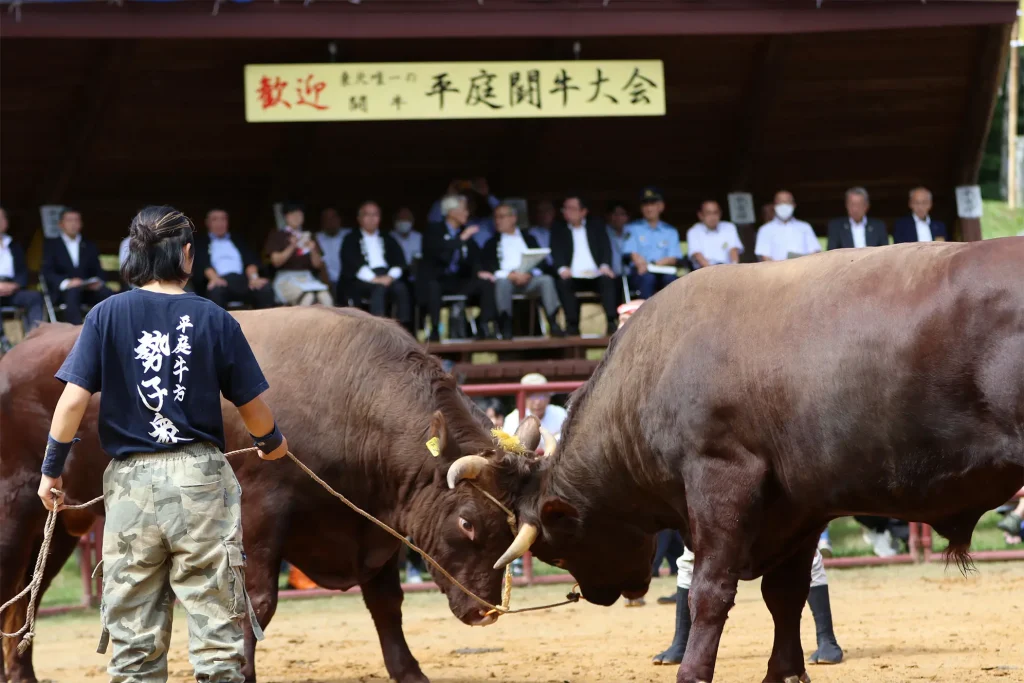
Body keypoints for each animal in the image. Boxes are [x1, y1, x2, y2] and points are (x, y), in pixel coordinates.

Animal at [0, 305, 540, 683]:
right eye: (467, 522)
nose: (485, 611)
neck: (349, 400)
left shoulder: (372, 524)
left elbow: (387, 603)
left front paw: (410, 672)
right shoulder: (258, 516)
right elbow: (253, 602)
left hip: (57, 527)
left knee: (25, 601)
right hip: (14, 512)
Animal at [487, 236, 1024, 683]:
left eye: (555, 551)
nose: (599, 593)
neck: (652, 369)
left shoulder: (721, 478)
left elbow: (710, 591)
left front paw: (692, 671)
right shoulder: (799, 507)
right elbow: (784, 595)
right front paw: (784, 672)